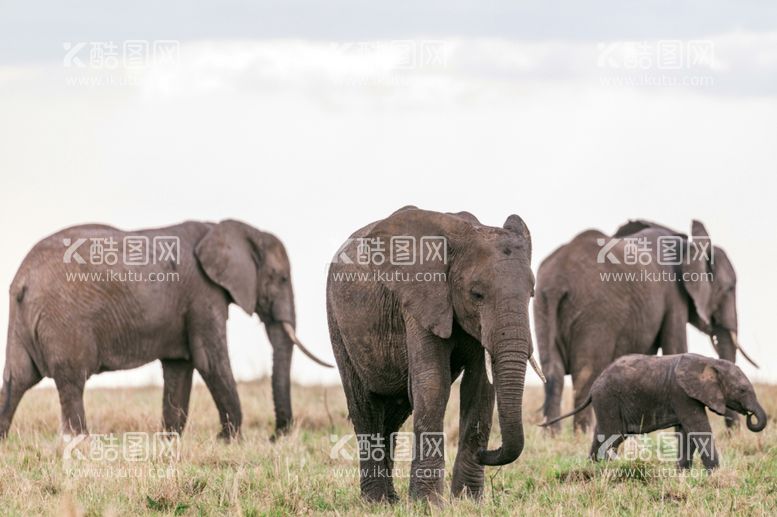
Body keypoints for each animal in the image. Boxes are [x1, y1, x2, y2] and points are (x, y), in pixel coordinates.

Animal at [0, 220, 330, 442]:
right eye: (282, 278)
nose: (277, 436)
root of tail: (24, 279)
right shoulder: (203, 295)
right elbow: (210, 361)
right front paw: (230, 441)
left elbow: (179, 367)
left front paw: (170, 441)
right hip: (64, 320)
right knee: (71, 380)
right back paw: (80, 444)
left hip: (21, 319)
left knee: (16, 379)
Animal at [324, 206, 544, 500]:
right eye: (477, 294)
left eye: (531, 294)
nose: (486, 452)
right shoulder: (422, 299)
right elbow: (432, 383)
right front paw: (427, 502)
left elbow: (480, 387)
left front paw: (468, 501)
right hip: (337, 321)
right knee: (365, 407)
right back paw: (377, 501)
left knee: (394, 413)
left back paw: (392, 499)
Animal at [544, 352, 768, 470]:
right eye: (742, 390)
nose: (750, 416)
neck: (710, 362)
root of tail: (593, 387)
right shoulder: (682, 394)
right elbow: (698, 429)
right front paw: (715, 474)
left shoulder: (686, 397)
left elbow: (687, 432)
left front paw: (682, 473)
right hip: (608, 399)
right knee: (613, 436)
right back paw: (606, 469)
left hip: (605, 402)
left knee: (602, 434)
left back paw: (593, 468)